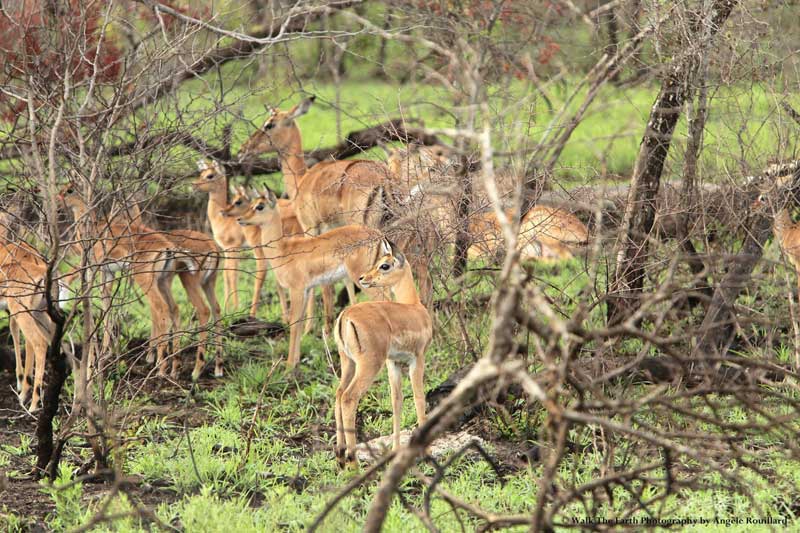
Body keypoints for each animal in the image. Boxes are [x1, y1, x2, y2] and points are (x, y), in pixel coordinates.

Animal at [193, 160, 268, 317]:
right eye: (201, 173)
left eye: (210, 175)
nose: (194, 185)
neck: (221, 220)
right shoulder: (226, 250)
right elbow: (226, 274)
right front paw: (227, 308)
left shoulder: (233, 248)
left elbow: (232, 274)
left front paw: (234, 309)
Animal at [237, 188, 387, 368]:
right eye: (251, 203)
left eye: (260, 206)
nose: (240, 219)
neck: (284, 251)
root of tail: (378, 235)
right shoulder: (307, 290)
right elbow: (300, 322)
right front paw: (295, 360)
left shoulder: (296, 289)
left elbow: (294, 323)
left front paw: (289, 364)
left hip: (363, 279)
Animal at [333, 239, 432, 469]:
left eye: (384, 265)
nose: (363, 278)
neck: (414, 307)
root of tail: (345, 316)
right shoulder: (417, 359)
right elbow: (419, 397)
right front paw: (427, 452)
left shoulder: (393, 363)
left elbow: (397, 401)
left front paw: (395, 450)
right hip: (368, 365)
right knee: (349, 398)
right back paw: (353, 462)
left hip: (348, 363)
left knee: (339, 394)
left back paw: (340, 456)